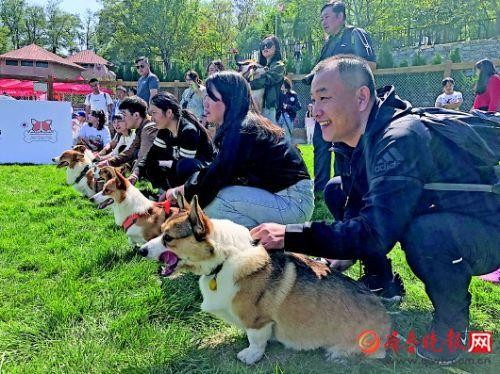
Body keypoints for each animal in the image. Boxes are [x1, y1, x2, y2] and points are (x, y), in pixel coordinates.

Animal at [138, 196, 390, 366]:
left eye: (168, 238)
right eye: (160, 232)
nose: (140, 251)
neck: (224, 260)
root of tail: (389, 327)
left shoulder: (257, 320)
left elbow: (256, 340)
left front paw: (250, 356)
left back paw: (338, 352)